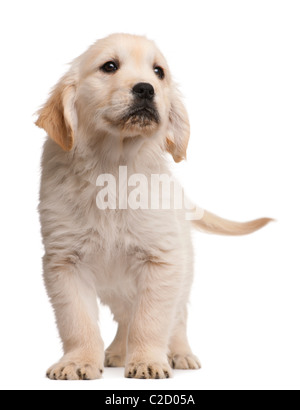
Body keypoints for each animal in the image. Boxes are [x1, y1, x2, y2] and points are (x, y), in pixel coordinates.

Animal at [35, 33, 272, 380]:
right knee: (124, 316)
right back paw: (117, 352)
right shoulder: (64, 261)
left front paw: (148, 360)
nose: (146, 89)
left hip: (183, 272)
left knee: (177, 318)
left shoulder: (162, 261)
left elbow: (151, 320)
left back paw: (180, 354)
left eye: (159, 72)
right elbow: (77, 320)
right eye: (109, 66)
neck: (114, 167)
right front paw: (79, 362)